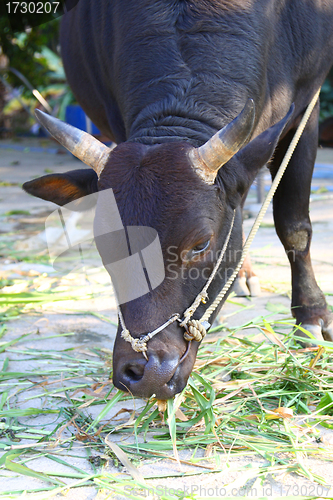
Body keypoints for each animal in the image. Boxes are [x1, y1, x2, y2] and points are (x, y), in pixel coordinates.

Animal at [24, 0, 332, 398]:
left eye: (200, 244)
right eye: (103, 245)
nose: (143, 373)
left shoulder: (307, 107)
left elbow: (294, 226)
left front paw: (311, 316)